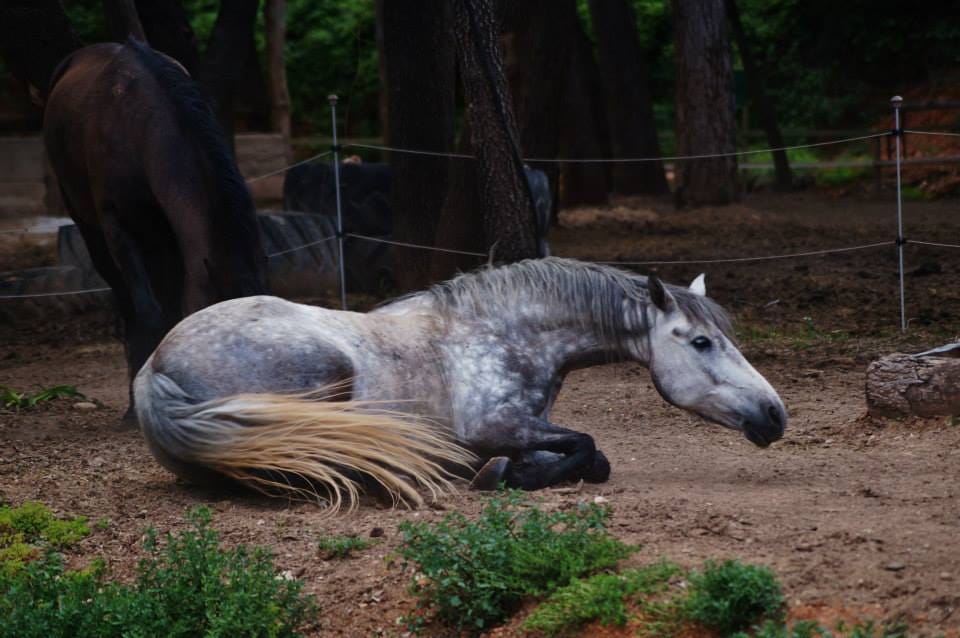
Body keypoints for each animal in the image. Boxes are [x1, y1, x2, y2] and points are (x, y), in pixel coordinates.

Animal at [43, 39, 268, 421]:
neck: (139, 126)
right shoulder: (118, 228)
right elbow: (148, 313)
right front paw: (136, 411)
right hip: (90, 226)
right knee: (127, 302)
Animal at [133, 257, 787, 512]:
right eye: (699, 342)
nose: (774, 413)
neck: (501, 332)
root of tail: (151, 371)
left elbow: (592, 458)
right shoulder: (495, 425)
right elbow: (587, 447)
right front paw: (505, 476)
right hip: (320, 377)